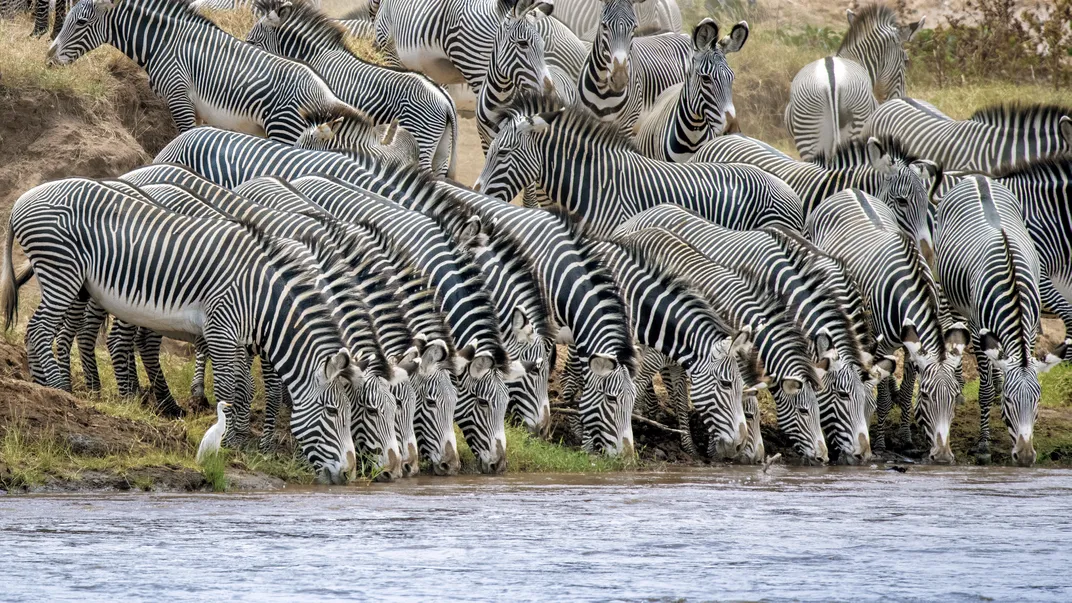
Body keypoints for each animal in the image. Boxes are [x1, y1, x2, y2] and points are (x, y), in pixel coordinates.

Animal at [1, 178, 363, 484]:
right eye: (332, 411)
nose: (348, 473)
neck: (260, 295)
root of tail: (23, 198)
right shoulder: (221, 328)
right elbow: (230, 389)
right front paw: (228, 440)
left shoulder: (238, 338)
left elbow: (245, 388)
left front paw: (242, 440)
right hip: (62, 271)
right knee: (38, 330)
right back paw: (57, 387)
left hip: (76, 285)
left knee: (45, 332)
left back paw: (46, 386)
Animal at [48, 0, 387, 151]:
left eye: (80, 22)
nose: (48, 58)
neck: (163, 42)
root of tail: (324, 91)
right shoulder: (194, 106)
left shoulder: (178, 96)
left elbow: (183, 137)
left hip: (285, 128)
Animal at [590, 239, 752, 458]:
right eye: (726, 384)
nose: (739, 446)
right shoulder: (641, 359)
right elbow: (634, 388)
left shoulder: (676, 365)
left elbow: (682, 401)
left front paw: (689, 448)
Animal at [806, 189, 969, 462]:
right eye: (926, 395)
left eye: (955, 396)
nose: (944, 457)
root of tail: (850, 190)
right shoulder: (883, 345)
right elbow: (881, 398)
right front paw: (881, 443)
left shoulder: (912, 347)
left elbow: (906, 391)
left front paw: (906, 438)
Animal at [935, 175, 1066, 466]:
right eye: (1009, 400)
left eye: (1038, 402)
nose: (1026, 457)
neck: (1012, 286)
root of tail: (977, 177)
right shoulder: (976, 328)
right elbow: (983, 389)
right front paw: (983, 446)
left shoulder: (1030, 328)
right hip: (952, 295)